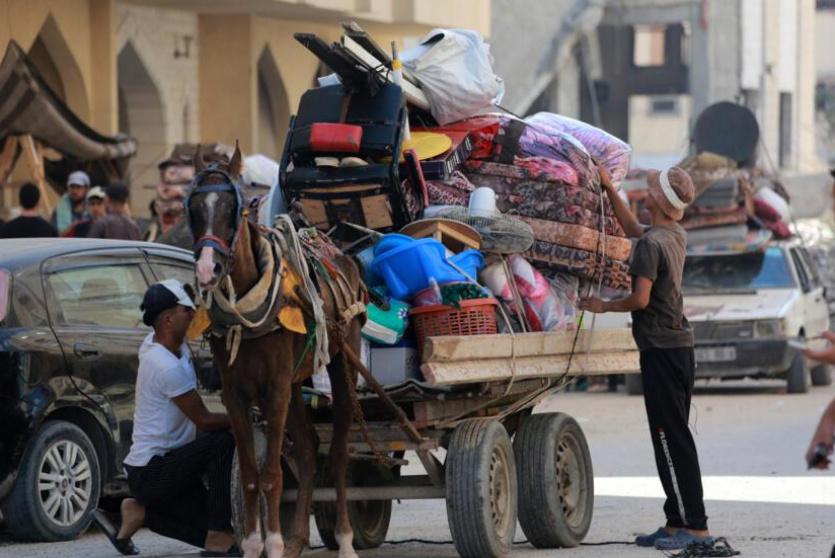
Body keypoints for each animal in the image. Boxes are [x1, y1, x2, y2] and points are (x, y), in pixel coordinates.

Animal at [188, 145, 368, 558]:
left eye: (233, 208)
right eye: (193, 207)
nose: (207, 270)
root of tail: (341, 255)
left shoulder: (275, 388)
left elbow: (271, 475)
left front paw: (272, 542)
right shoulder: (237, 393)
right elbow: (251, 476)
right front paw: (256, 544)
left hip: (342, 361)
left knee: (338, 454)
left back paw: (345, 539)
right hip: (296, 383)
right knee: (308, 448)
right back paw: (298, 538)